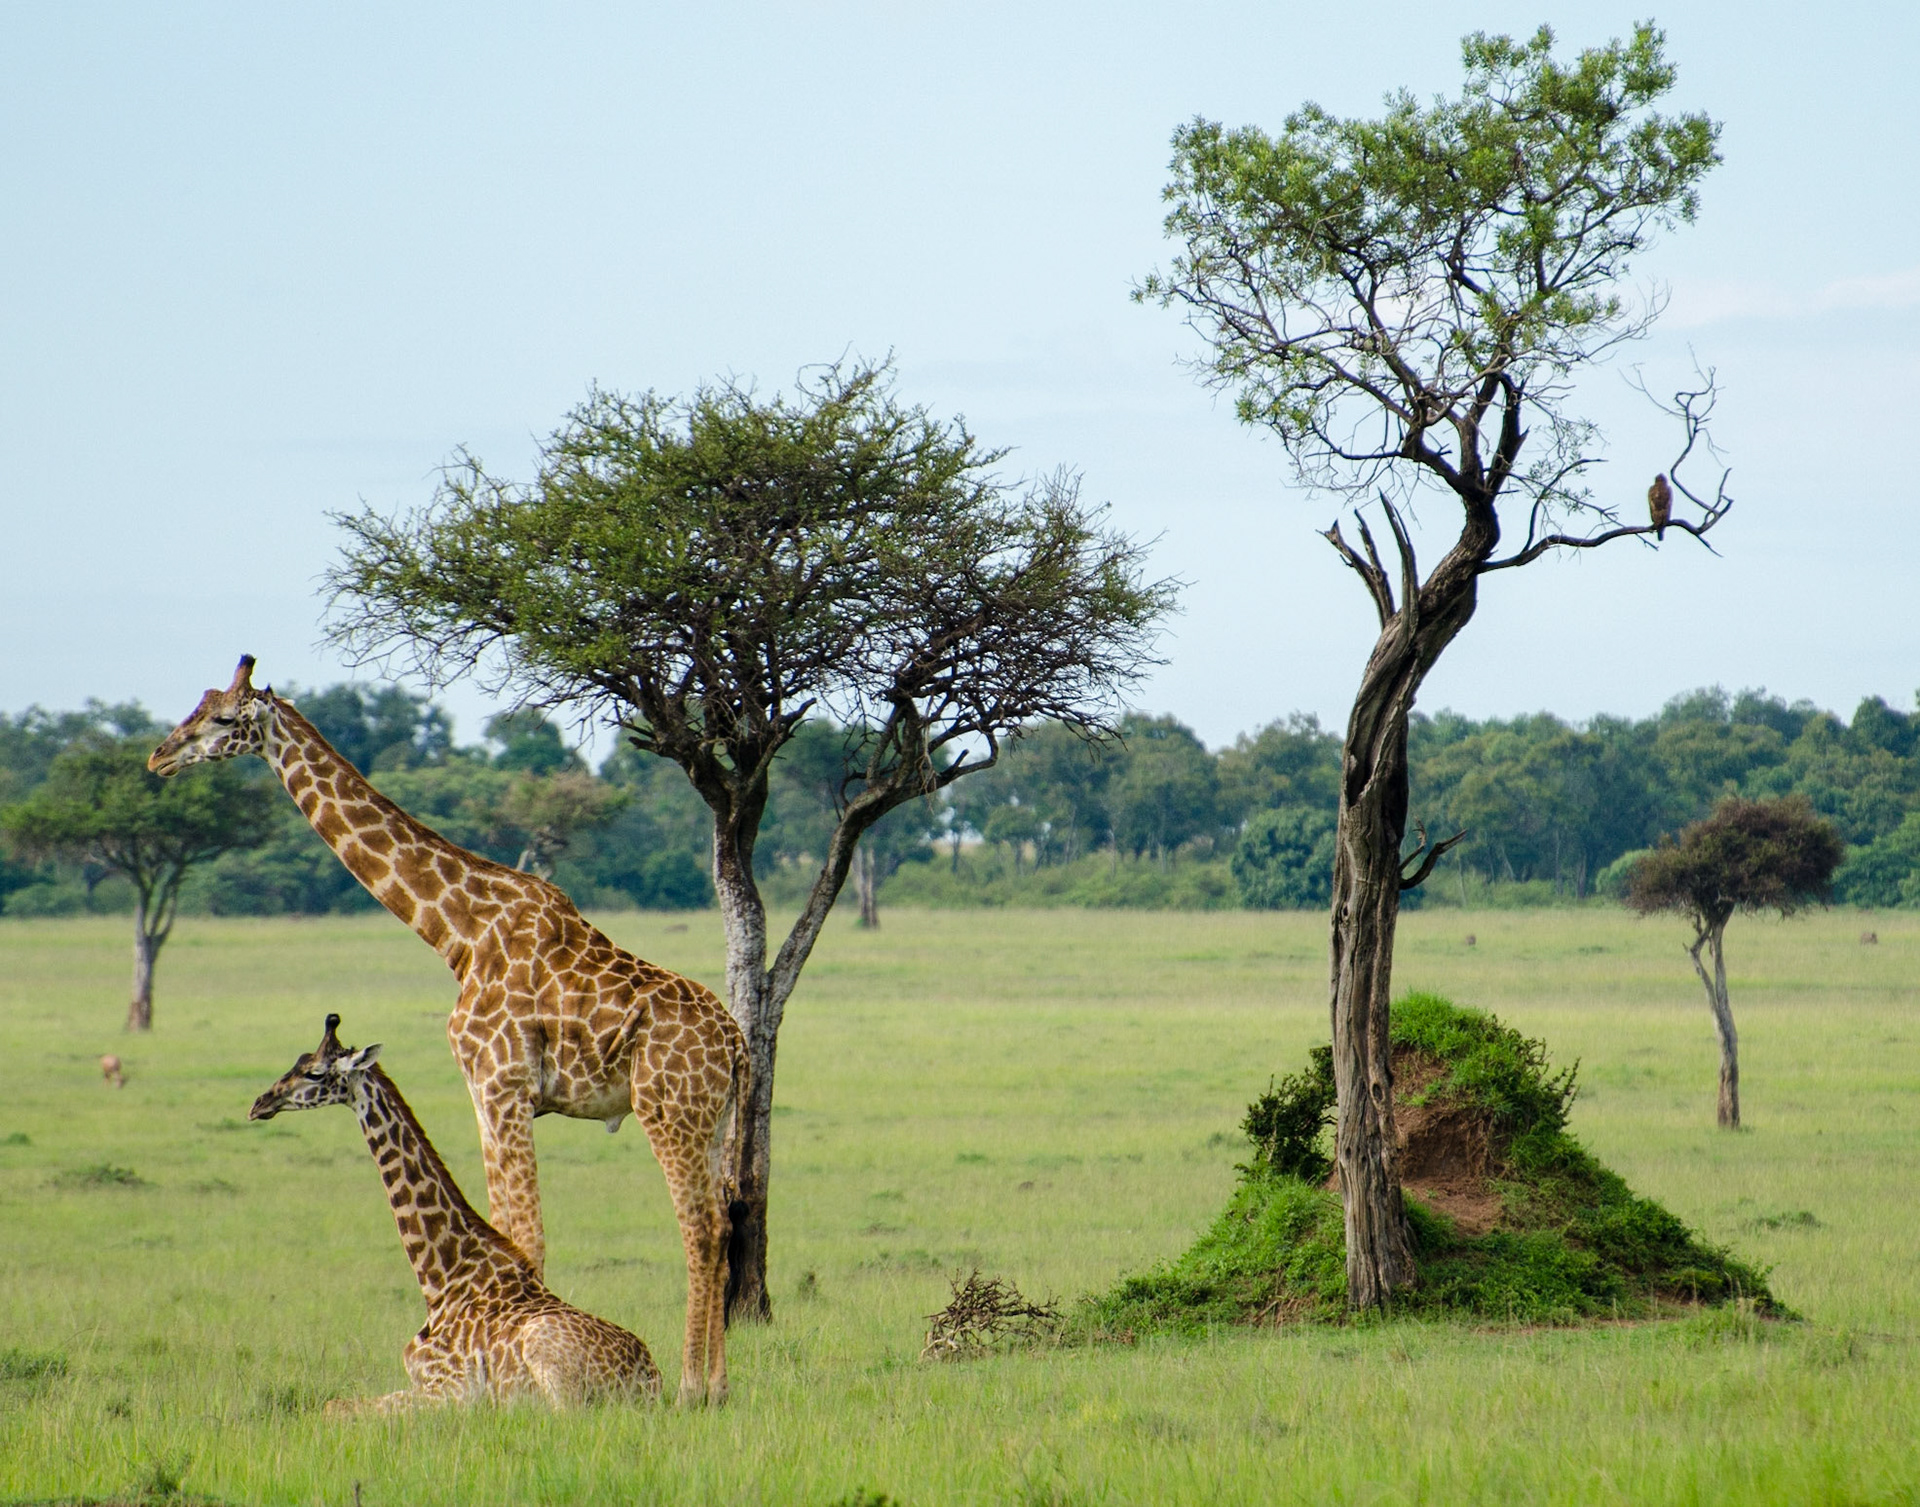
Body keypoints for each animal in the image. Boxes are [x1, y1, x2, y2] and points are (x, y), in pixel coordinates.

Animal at [251, 1013, 662, 1411]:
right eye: (299, 1060)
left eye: (315, 1072)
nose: (260, 1103)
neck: (441, 1279)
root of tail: (649, 1378)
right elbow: (335, 1404)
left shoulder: (452, 1390)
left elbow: (336, 1407)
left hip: (550, 1364)